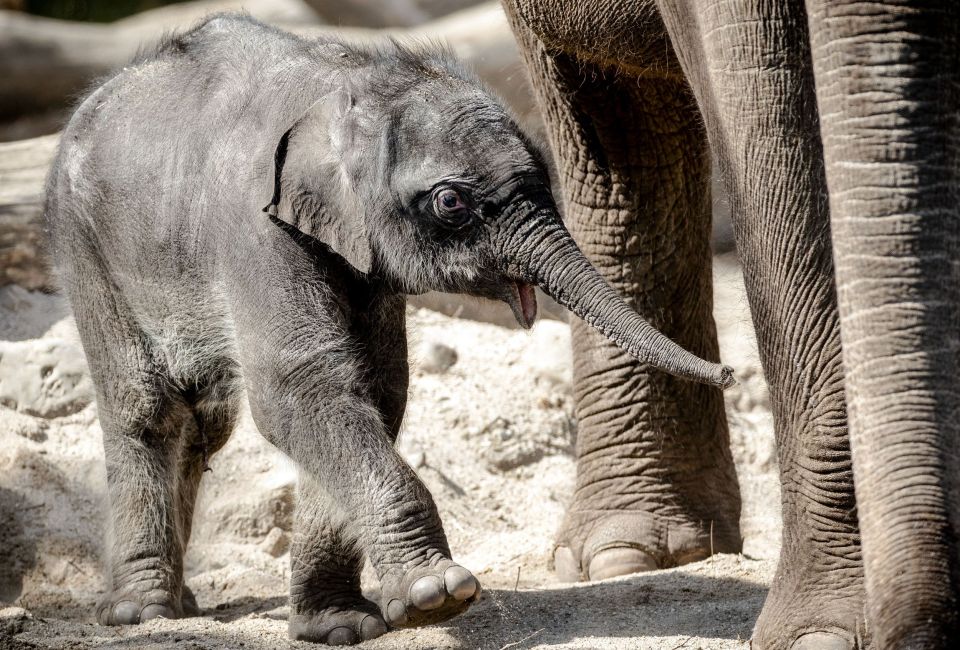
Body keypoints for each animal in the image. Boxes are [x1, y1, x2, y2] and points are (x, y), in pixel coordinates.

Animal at [45, 15, 732, 644]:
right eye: (452, 203)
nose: (726, 371)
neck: (346, 85)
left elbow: (371, 392)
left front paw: (341, 626)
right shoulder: (252, 230)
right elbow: (301, 391)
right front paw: (438, 597)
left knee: (203, 420)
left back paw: (179, 603)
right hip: (85, 244)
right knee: (150, 408)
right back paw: (141, 614)